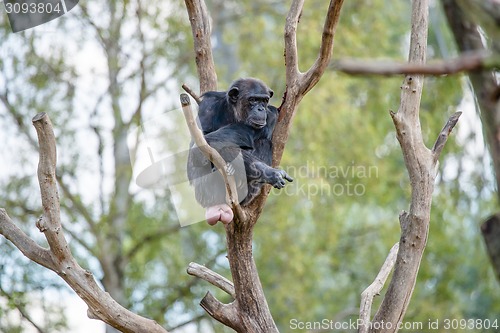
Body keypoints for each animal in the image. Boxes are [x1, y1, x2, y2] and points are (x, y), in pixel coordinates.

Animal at [188, 77, 292, 223]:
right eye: (253, 99)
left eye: (264, 100)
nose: (261, 108)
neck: (234, 112)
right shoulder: (207, 106)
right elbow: (199, 143)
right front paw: (271, 173)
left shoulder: (271, 115)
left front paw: (268, 172)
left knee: (263, 142)